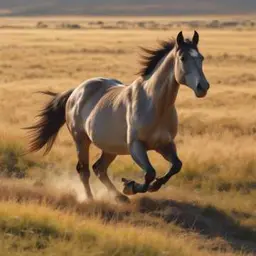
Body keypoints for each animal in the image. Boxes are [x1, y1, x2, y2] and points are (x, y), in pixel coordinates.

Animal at [25, 31, 210, 202]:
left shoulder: (165, 144)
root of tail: (76, 91)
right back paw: (91, 199)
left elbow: (176, 166)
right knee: (84, 169)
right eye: (183, 58)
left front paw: (153, 186)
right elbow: (150, 173)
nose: (203, 87)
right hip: (81, 140)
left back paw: (119, 197)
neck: (154, 105)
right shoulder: (136, 146)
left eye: (201, 58)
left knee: (99, 168)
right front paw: (131, 186)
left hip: (109, 147)